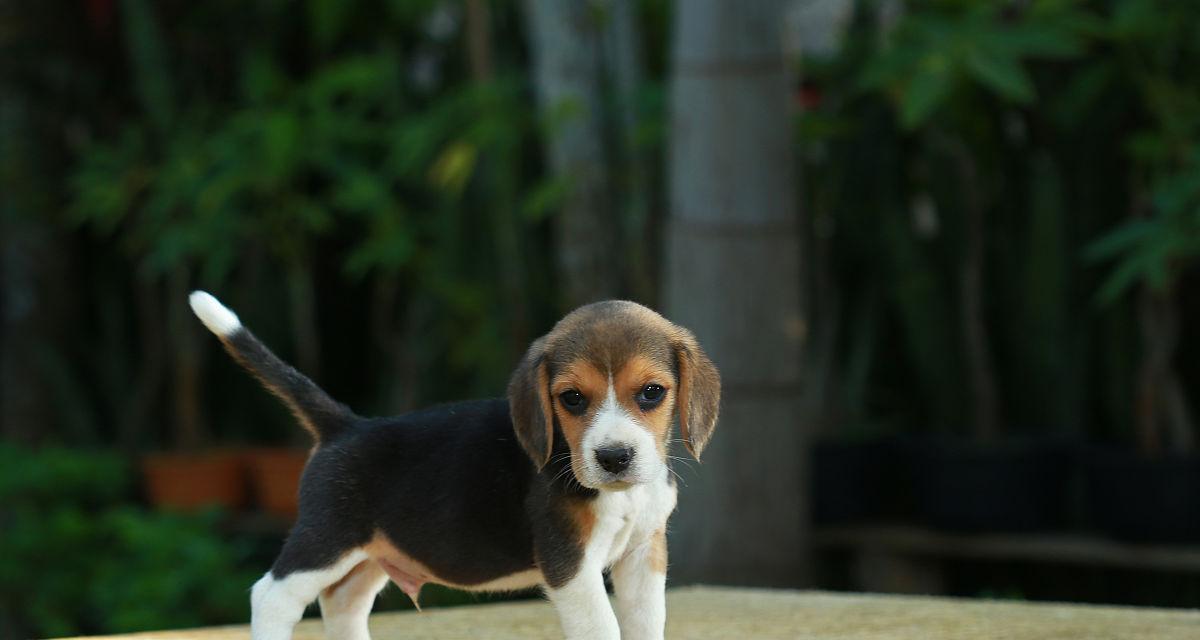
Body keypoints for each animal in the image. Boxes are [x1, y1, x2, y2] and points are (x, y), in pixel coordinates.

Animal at [183, 290, 715, 638]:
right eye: (572, 398)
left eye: (652, 393)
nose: (614, 457)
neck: (622, 497)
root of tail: (345, 426)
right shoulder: (571, 567)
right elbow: (601, 628)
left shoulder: (643, 556)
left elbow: (646, 624)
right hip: (325, 540)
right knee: (272, 597)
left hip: (372, 555)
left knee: (342, 604)